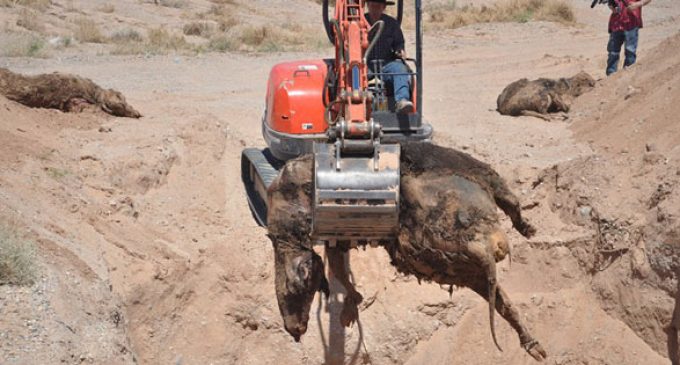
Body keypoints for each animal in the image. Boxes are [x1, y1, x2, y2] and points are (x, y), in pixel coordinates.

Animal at [266, 141, 548, 358]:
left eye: (296, 287)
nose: (294, 329)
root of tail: (485, 243)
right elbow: (337, 267)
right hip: (462, 265)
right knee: (500, 296)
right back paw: (534, 346)